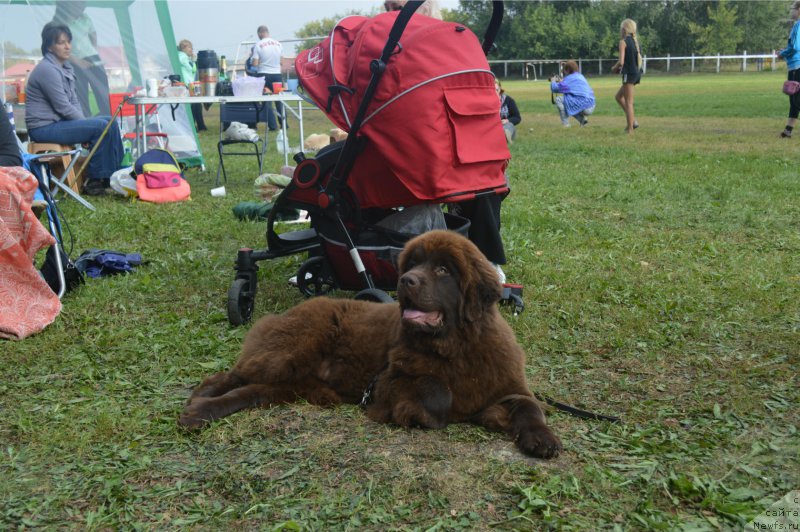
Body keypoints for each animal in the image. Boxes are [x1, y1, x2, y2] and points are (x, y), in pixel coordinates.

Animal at [178, 231, 560, 460]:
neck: (456, 347)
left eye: (442, 270)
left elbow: (530, 407)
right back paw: (200, 402)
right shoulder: (389, 383)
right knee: (235, 375)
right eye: (412, 264)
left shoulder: (508, 386)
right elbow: (437, 392)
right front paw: (424, 416)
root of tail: (298, 306)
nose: (406, 280)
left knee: (250, 391)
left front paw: (542, 439)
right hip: (291, 351)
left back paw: (202, 410)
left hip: (295, 385)